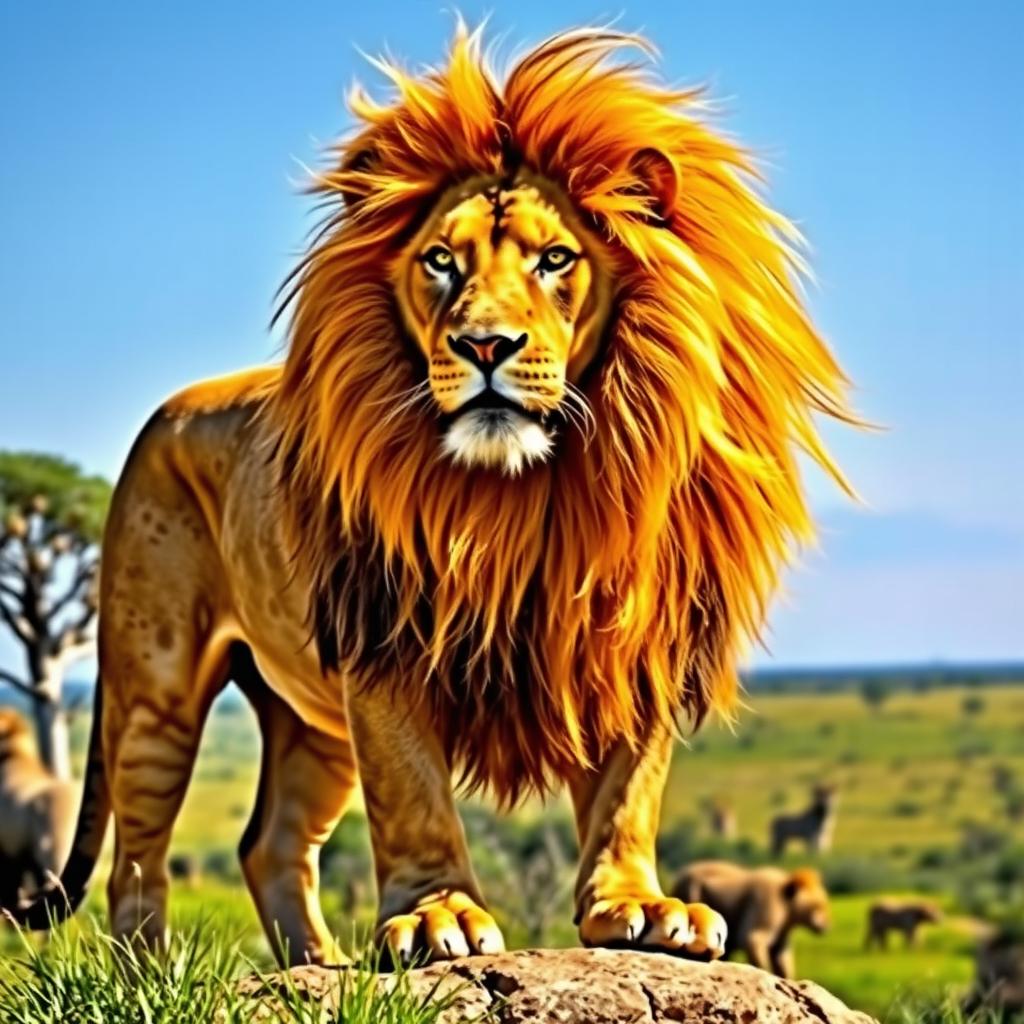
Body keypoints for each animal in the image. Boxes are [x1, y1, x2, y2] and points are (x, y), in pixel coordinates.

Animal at [672, 861, 831, 979]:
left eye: (824, 903)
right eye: (818, 905)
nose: (825, 926)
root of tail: (680, 876)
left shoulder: (783, 929)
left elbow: (781, 957)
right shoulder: (766, 906)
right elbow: (753, 939)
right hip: (693, 892)